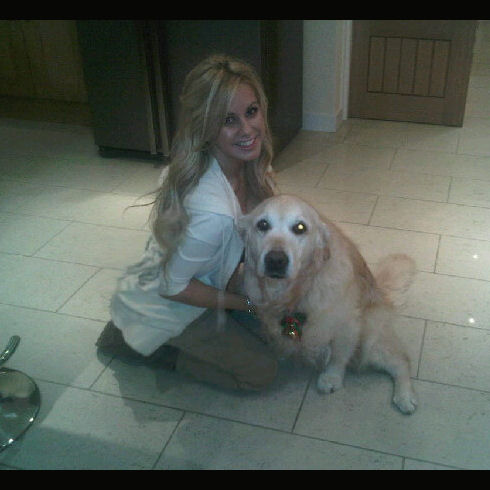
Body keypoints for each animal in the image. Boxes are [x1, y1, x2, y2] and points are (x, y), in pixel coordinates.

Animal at [238, 194, 417, 414]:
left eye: (300, 227)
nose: (276, 260)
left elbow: (339, 356)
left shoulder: (347, 325)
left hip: (371, 338)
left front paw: (332, 378)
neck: (298, 290)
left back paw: (405, 396)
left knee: (401, 361)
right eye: (262, 225)